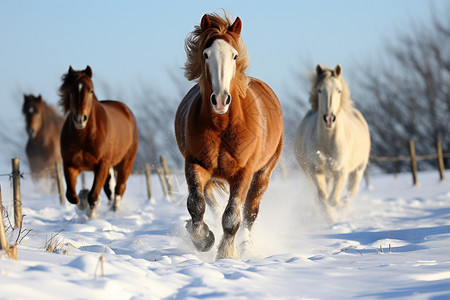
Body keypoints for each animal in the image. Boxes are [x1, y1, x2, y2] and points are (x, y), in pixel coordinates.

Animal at [59, 65, 138, 217]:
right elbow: (72, 196)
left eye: (91, 90)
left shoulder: (102, 165)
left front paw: (91, 215)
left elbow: (93, 195)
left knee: (119, 187)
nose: (80, 119)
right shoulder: (70, 165)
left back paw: (115, 210)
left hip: (125, 162)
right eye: (70, 90)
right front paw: (83, 201)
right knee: (109, 189)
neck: (84, 137)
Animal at [175, 12, 284, 258]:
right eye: (206, 54)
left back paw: (245, 245)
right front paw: (203, 239)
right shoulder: (195, 164)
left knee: (250, 212)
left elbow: (233, 216)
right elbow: (196, 205)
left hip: (263, 174)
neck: (222, 126)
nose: (221, 100)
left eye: (234, 56)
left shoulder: (244, 173)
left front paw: (226, 254)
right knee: (211, 203)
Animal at [294, 65, 370, 220]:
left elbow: (333, 198)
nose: (329, 119)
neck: (327, 141)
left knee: (352, 190)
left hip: (358, 170)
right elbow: (323, 196)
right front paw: (330, 218)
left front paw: (338, 208)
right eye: (319, 90)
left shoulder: (341, 171)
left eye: (338, 90)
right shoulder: (316, 170)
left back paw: (344, 206)